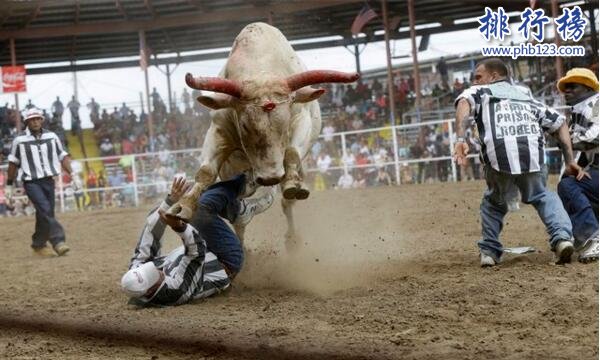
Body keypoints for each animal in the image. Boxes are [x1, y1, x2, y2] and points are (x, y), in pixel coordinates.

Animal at [166, 21, 358, 242]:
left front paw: (291, 183)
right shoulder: (219, 130)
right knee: (239, 216)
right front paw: (182, 207)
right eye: (244, 126)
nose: (270, 178)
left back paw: (292, 234)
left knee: (286, 202)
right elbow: (206, 172)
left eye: (285, 125)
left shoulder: (301, 120)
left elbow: (291, 152)